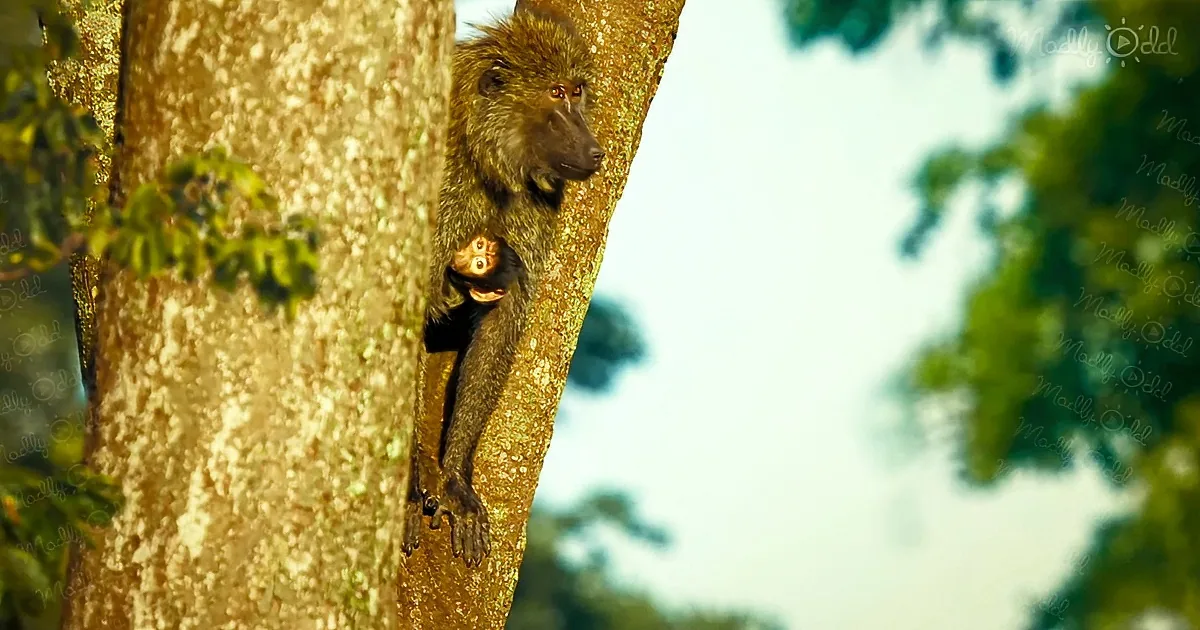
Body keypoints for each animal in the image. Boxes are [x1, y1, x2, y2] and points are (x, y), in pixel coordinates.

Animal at [402, 4, 603, 568]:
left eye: (577, 91)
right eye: (555, 93)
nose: (595, 150)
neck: (479, 153)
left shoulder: (538, 204)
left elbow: (503, 318)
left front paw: (454, 481)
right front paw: (412, 486)